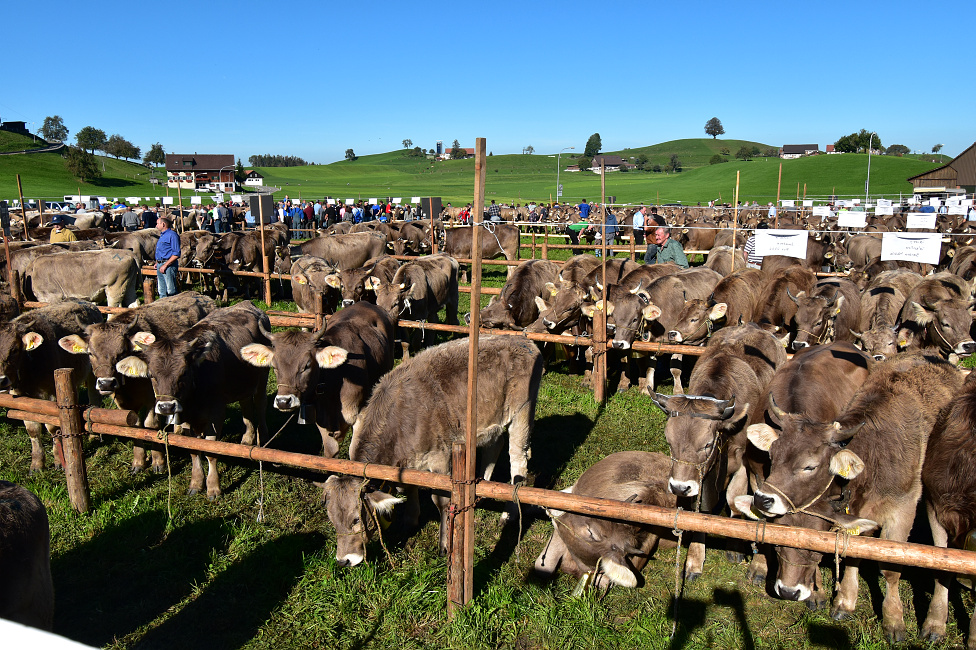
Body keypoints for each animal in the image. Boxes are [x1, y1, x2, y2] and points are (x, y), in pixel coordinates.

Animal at [117, 302, 270, 498]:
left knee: (260, 404)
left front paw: (213, 487)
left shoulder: (216, 413)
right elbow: (193, 448)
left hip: (263, 375)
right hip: (243, 384)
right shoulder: (185, 416)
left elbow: (211, 450)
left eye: (183, 373)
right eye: (152, 375)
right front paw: (196, 482)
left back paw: (262, 438)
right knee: (246, 406)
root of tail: (248, 305)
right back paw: (247, 438)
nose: (166, 407)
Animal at [242, 302, 394, 458]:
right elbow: (330, 452)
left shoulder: (361, 413)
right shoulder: (321, 418)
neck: (334, 383)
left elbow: (355, 452)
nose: (283, 401)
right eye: (274, 366)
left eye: (307, 365)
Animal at [324, 334, 544, 560]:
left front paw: (445, 544)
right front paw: (410, 521)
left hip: (523, 411)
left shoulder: (440, 456)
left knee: (517, 460)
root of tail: (522, 340)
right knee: (495, 446)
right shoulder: (408, 461)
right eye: (332, 520)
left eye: (356, 519)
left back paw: (508, 514)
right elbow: (409, 486)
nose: (344, 560)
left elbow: (441, 501)